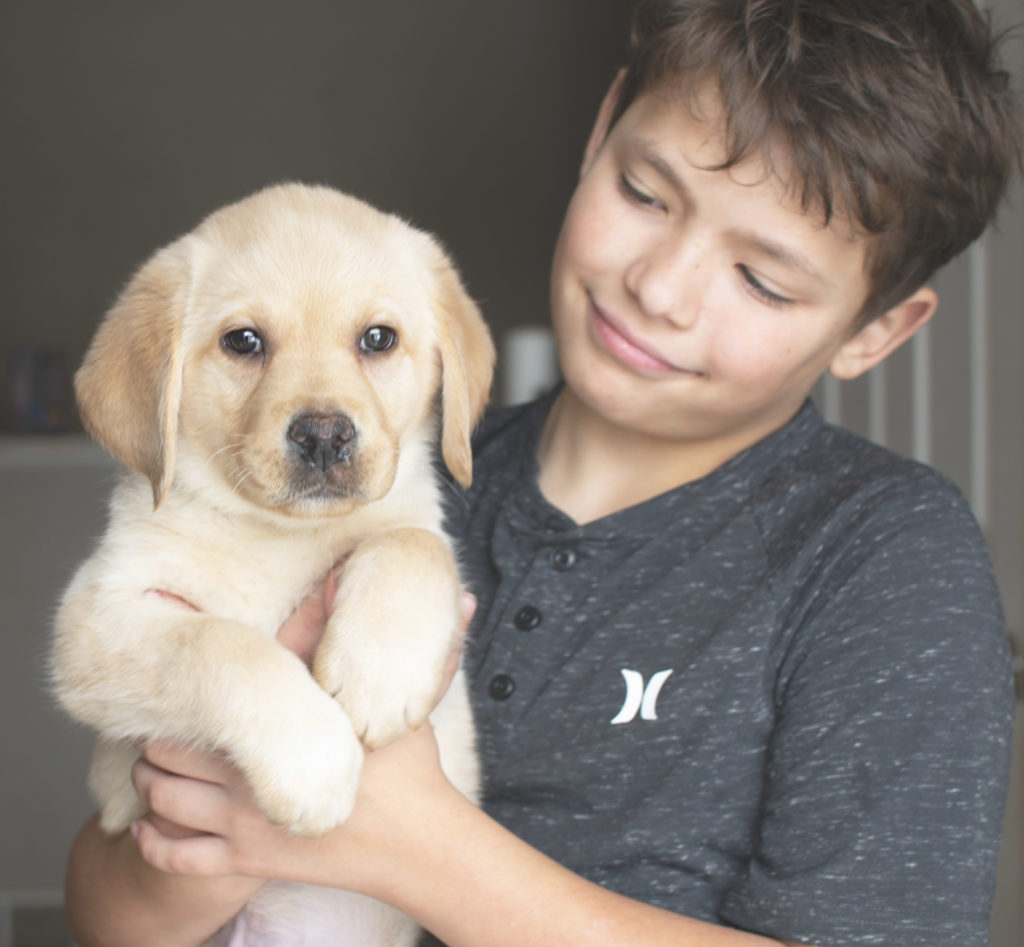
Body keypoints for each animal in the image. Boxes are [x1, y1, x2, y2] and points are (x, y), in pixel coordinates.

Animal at [51, 181, 491, 941]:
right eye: (244, 341)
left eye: (378, 338)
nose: (324, 435)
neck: (278, 534)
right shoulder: (92, 624)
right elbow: (220, 645)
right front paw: (313, 762)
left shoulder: (413, 522)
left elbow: (411, 543)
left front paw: (378, 676)